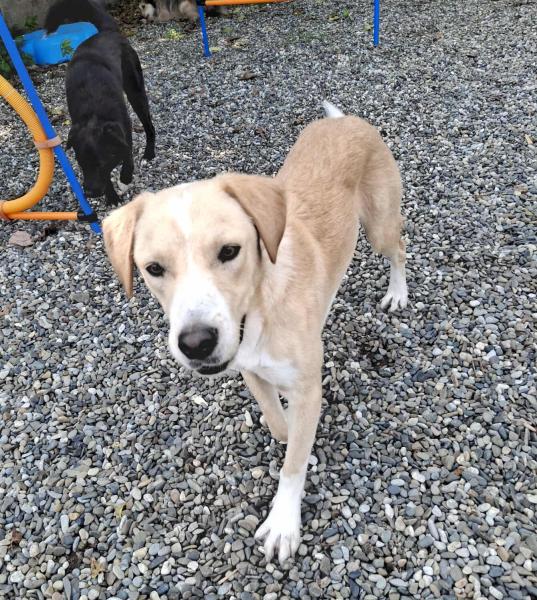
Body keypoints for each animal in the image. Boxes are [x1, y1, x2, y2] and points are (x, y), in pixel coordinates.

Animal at [46, 0, 156, 206]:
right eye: (81, 163)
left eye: (101, 163)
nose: (89, 193)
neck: (94, 114)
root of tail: (105, 32)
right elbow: (107, 177)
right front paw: (112, 197)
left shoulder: (123, 127)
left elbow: (127, 154)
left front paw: (125, 178)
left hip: (136, 92)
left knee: (149, 126)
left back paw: (149, 154)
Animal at [102, 101, 408, 563]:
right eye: (153, 268)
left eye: (230, 251)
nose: (196, 343)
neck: (259, 311)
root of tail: (345, 121)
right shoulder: (251, 371)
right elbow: (281, 426)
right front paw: (290, 432)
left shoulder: (307, 385)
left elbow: (294, 462)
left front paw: (283, 522)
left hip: (380, 226)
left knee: (399, 251)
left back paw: (398, 292)